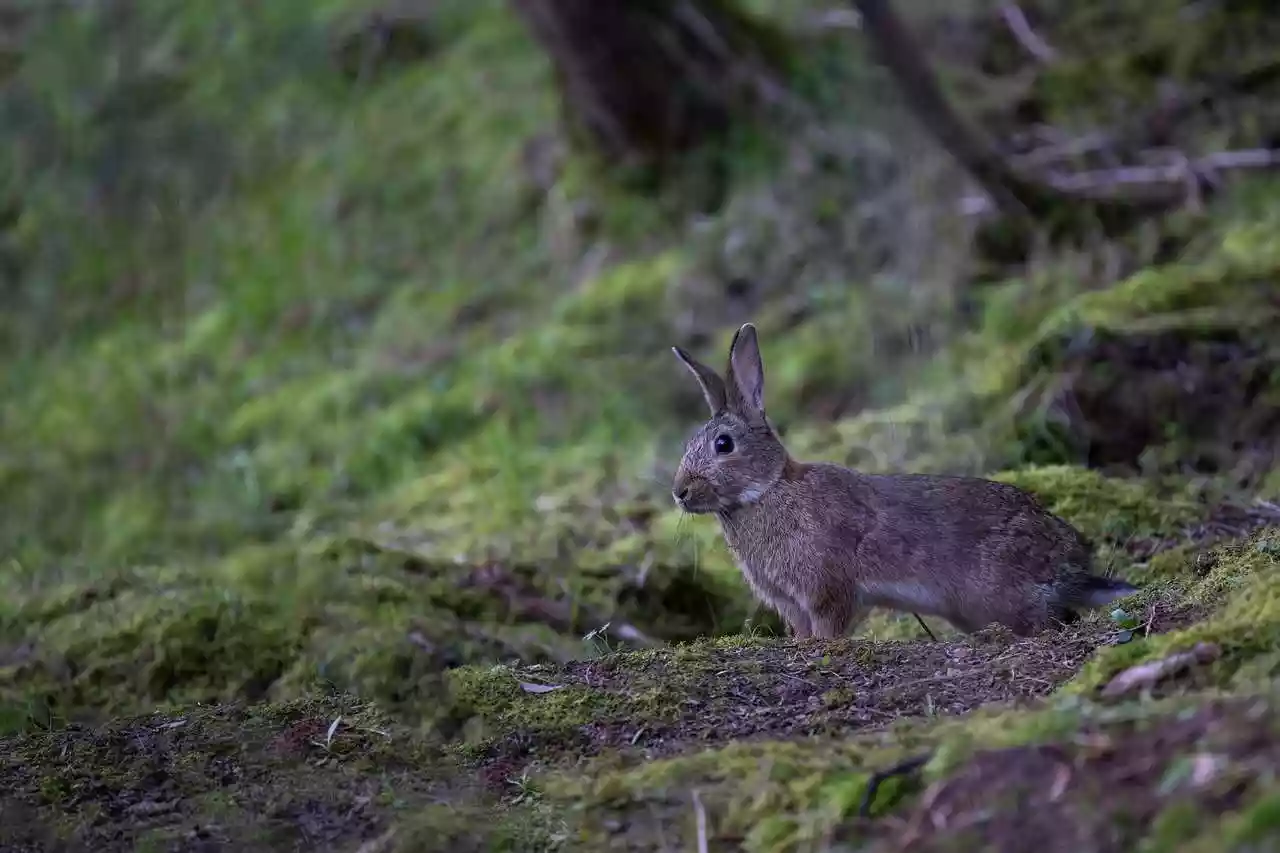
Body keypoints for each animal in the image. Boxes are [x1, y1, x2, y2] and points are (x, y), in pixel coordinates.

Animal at [670, 322, 1141, 635]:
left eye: (724, 444)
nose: (680, 492)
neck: (766, 491)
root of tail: (1073, 569)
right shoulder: (791, 604)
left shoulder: (826, 590)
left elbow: (830, 629)